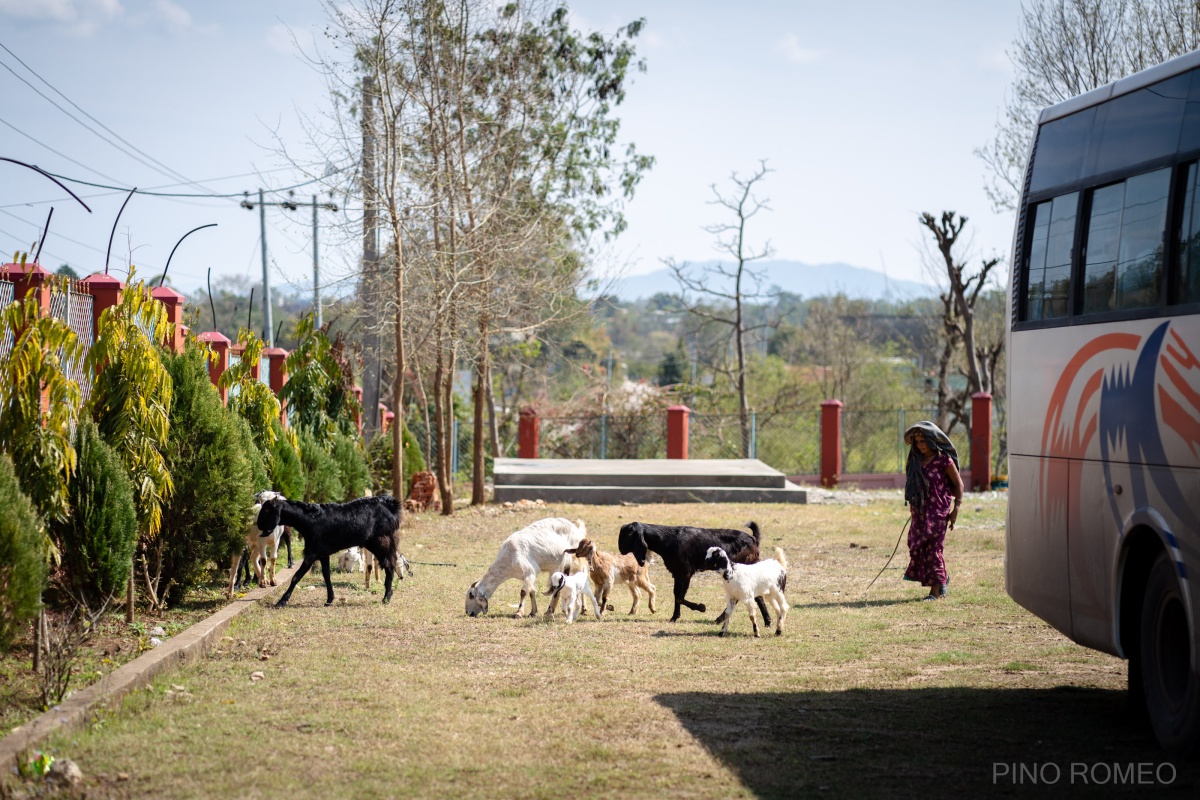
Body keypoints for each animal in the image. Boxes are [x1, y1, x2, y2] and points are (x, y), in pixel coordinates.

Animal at [254, 494, 400, 606]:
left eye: (267, 511)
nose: (258, 525)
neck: (309, 520)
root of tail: (390, 506)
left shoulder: (312, 552)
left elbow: (296, 576)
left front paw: (282, 601)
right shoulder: (323, 553)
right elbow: (326, 575)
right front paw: (330, 599)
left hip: (381, 542)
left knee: (389, 565)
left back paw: (386, 598)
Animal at [614, 522, 772, 628]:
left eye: (628, 534)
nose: (620, 550)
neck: (667, 540)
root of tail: (753, 539)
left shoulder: (685, 573)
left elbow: (679, 597)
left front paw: (701, 607)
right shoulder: (677, 573)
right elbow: (676, 595)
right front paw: (674, 617)